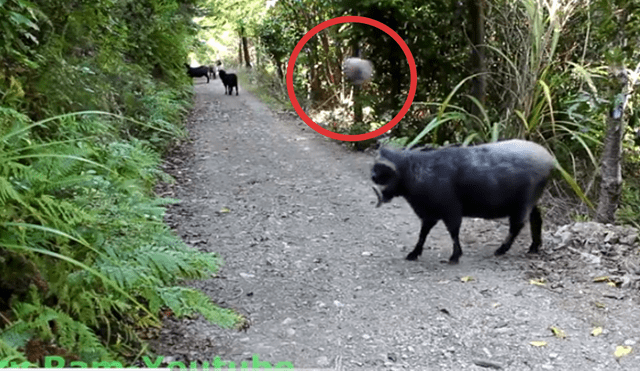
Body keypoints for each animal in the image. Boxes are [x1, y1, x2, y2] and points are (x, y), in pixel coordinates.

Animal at [372, 140, 552, 264]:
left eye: (383, 174)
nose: (378, 196)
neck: (415, 172)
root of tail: (550, 159)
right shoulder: (430, 213)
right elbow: (423, 234)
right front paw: (414, 253)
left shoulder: (451, 211)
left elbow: (453, 233)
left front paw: (454, 256)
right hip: (532, 201)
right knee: (536, 218)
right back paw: (534, 247)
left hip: (523, 202)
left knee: (517, 226)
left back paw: (501, 250)